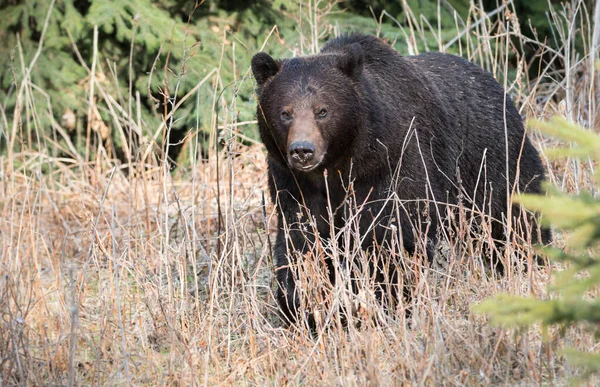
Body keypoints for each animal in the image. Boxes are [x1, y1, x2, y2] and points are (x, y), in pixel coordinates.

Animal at [251, 33, 552, 326]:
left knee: (516, 218)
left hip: (492, 162)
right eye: (285, 112)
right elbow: (301, 243)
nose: (302, 150)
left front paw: (386, 299)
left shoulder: (393, 164)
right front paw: (304, 306)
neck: (343, 163)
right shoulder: (293, 184)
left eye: (322, 110)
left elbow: (395, 239)